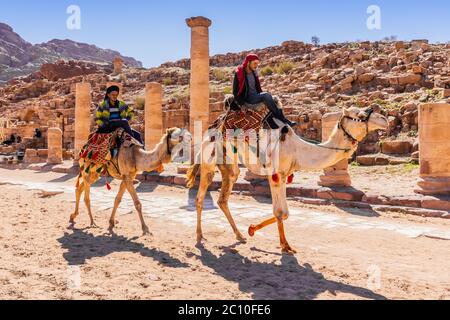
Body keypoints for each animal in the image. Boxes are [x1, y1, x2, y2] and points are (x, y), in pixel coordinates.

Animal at [188, 106, 388, 254]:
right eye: (359, 115)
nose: (384, 119)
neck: (297, 149)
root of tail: (209, 131)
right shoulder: (275, 175)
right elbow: (280, 212)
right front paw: (281, 244)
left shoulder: (285, 174)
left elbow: (284, 213)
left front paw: (259, 233)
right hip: (208, 160)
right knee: (200, 197)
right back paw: (199, 236)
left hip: (230, 165)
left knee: (223, 198)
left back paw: (239, 235)